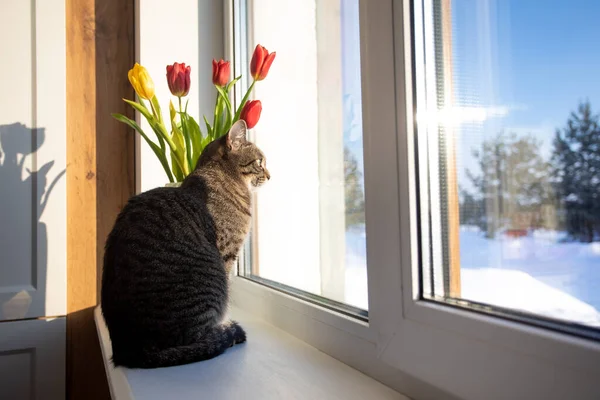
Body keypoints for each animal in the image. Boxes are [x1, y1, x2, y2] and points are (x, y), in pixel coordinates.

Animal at [100, 119, 270, 368]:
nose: (270, 175)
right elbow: (227, 296)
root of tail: (128, 350)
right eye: (259, 162)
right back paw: (225, 333)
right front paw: (226, 322)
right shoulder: (227, 254)